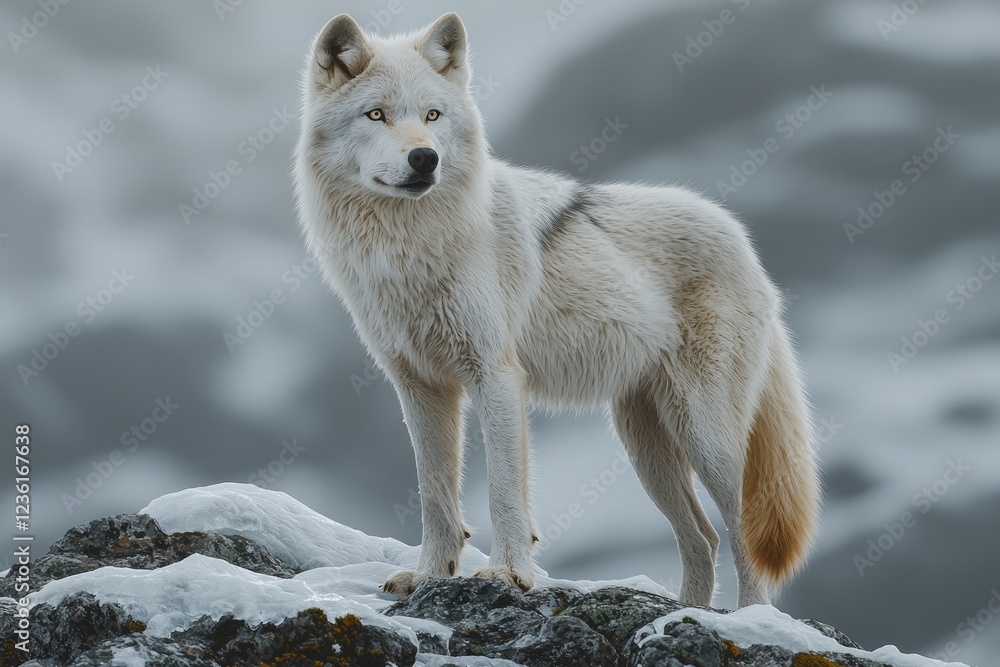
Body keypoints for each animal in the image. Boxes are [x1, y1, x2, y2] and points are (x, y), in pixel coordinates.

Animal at [293, 12, 820, 608]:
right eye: (377, 114)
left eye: (432, 115)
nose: (425, 158)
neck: (410, 249)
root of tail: (745, 243)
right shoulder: (420, 387)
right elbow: (434, 493)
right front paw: (429, 575)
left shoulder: (496, 377)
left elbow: (504, 491)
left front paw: (506, 575)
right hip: (647, 446)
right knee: (702, 537)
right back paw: (689, 611)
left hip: (707, 438)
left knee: (739, 532)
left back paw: (750, 618)